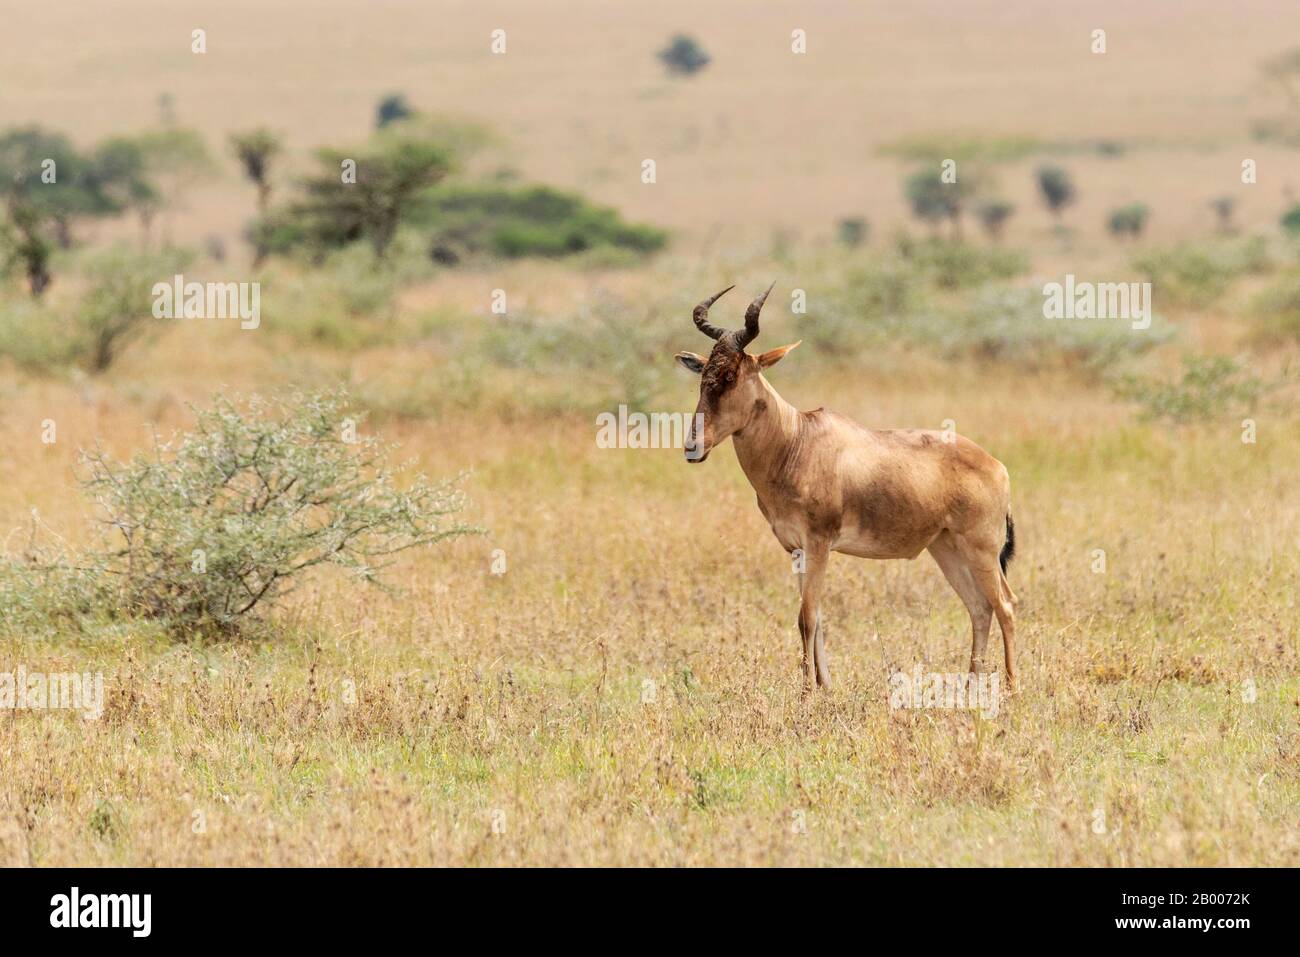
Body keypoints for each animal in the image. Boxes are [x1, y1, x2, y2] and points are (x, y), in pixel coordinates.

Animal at [676, 280, 1019, 691]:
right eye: (704, 376)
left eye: (731, 376)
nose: (694, 447)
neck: (797, 440)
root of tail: (997, 467)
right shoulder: (796, 549)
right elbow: (816, 616)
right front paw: (824, 687)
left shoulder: (819, 544)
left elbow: (806, 617)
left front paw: (807, 692)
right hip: (946, 548)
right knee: (979, 607)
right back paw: (970, 688)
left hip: (982, 549)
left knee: (1006, 605)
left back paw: (1012, 689)